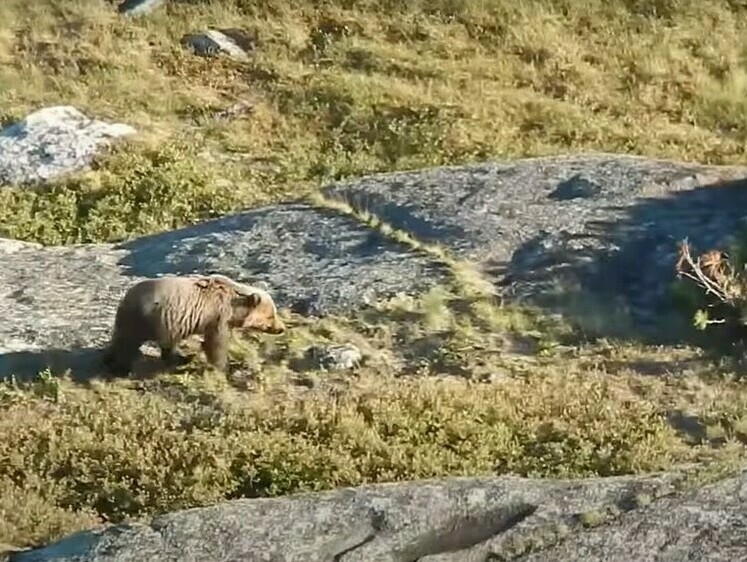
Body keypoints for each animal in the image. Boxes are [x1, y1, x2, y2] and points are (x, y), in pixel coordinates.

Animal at [102, 272, 284, 374]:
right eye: (271, 315)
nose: (281, 328)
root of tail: (126, 297)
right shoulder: (217, 315)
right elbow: (216, 343)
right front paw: (223, 367)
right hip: (143, 318)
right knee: (127, 344)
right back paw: (121, 368)